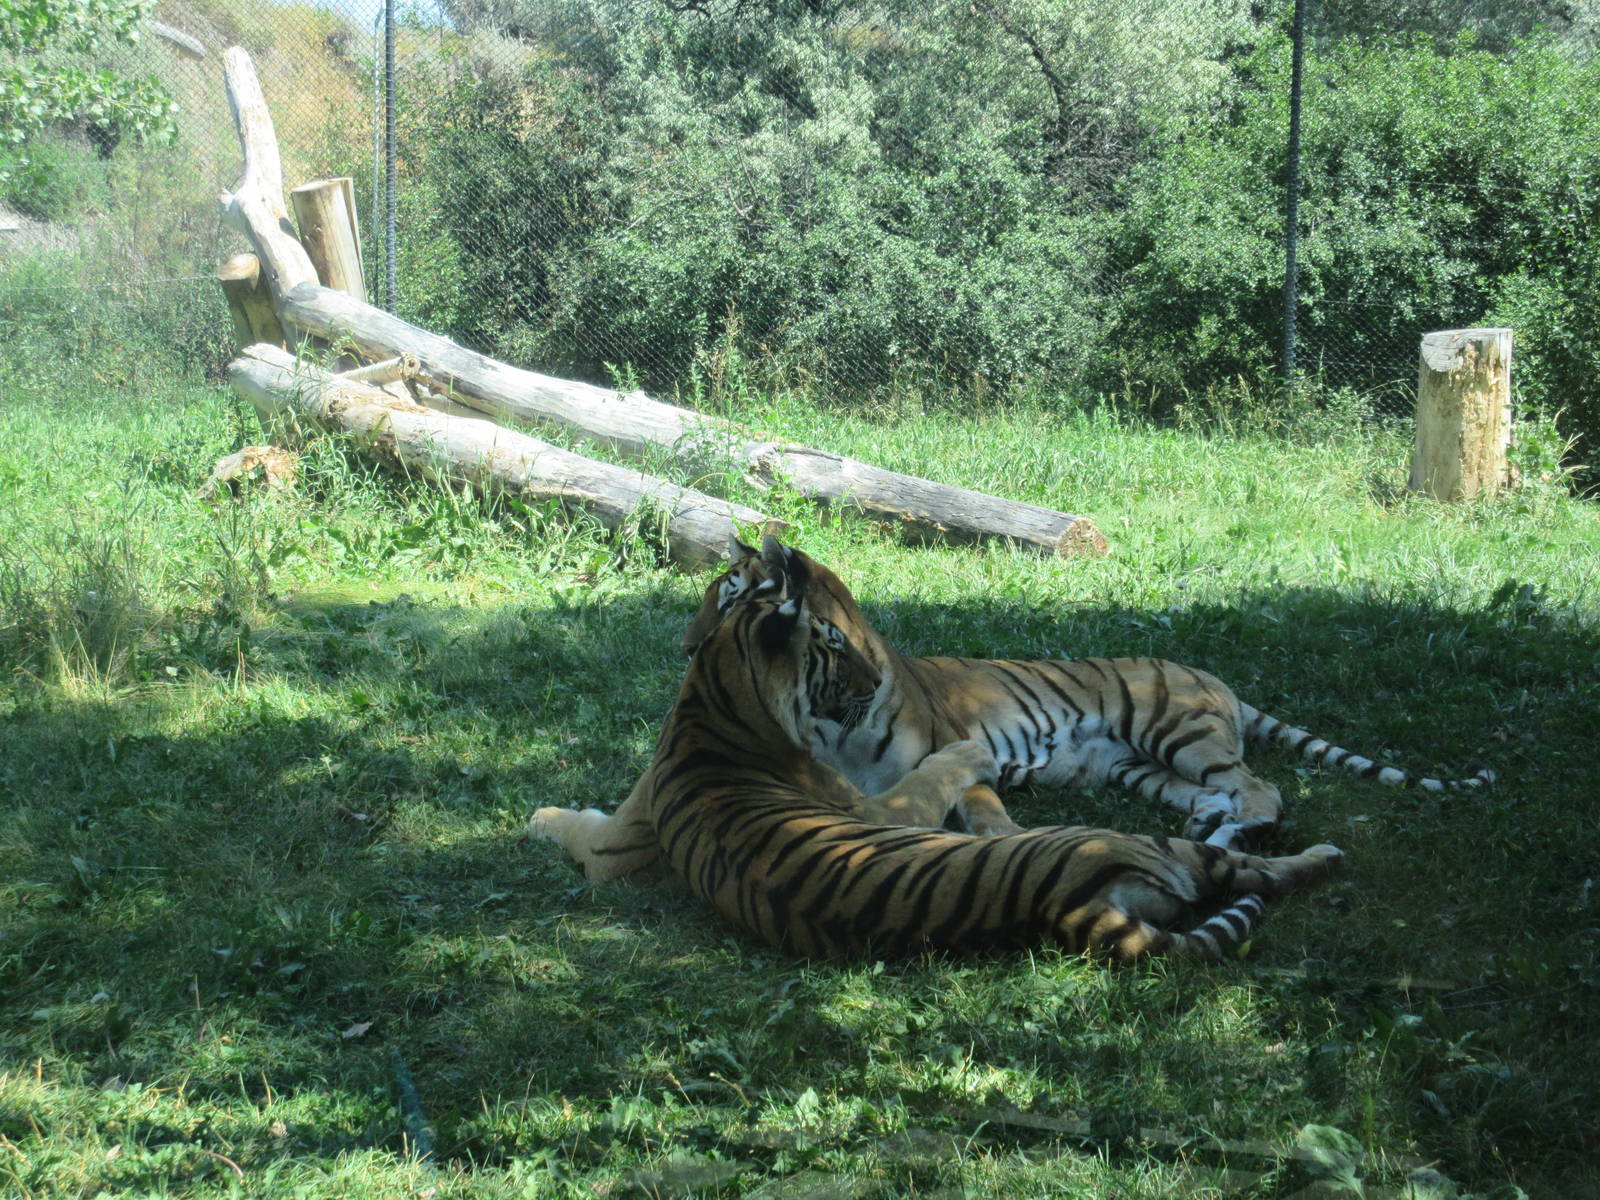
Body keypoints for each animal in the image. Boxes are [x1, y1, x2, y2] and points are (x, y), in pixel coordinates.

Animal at [681, 535, 1494, 848]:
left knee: (1263, 790)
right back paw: (1208, 825)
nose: (686, 647)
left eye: (729, 597)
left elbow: (983, 810)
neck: (832, 712)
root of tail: (1215, 678)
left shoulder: (953, 749)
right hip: (1137, 767)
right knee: (1217, 793)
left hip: (1177, 731)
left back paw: (1228, 836)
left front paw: (1005, 843)